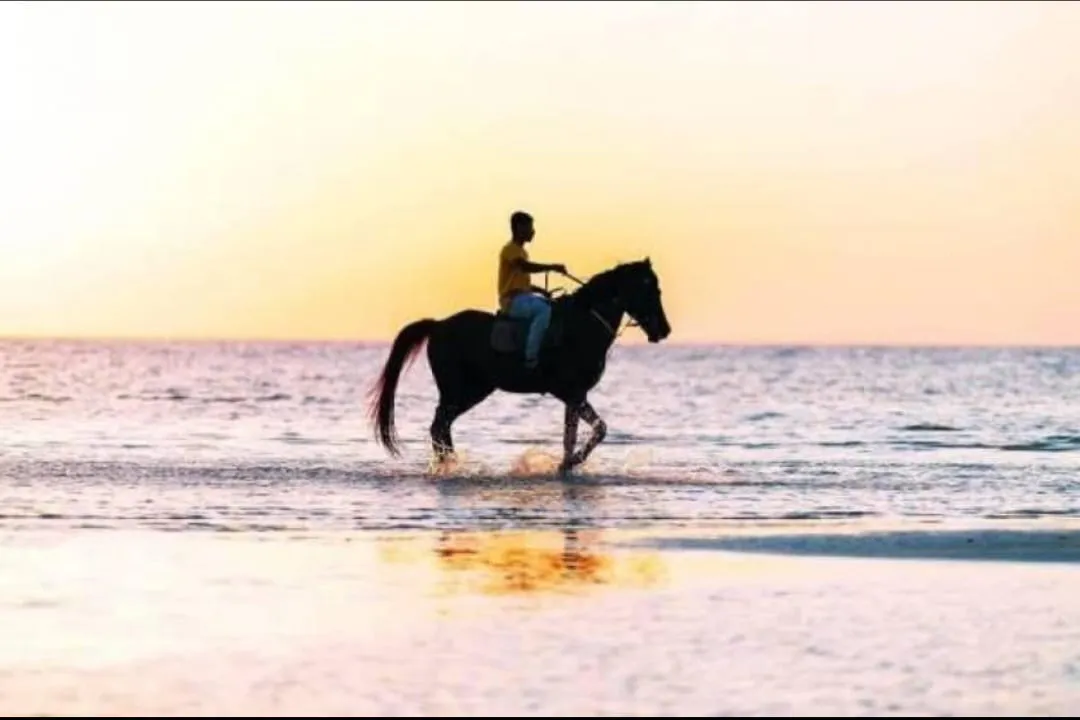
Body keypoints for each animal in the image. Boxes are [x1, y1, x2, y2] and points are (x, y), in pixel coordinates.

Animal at [367, 257, 672, 474]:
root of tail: (439, 324)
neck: (583, 324)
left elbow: (570, 436)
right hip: (459, 391)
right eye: (650, 290)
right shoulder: (572, 393)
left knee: (442, 426)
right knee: (439, 425)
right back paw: (450, 465)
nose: (664, 331)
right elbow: (600, 429)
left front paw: (565, 466)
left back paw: (449, 463)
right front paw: (572, 462)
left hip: (472, 391)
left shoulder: (575, 396)